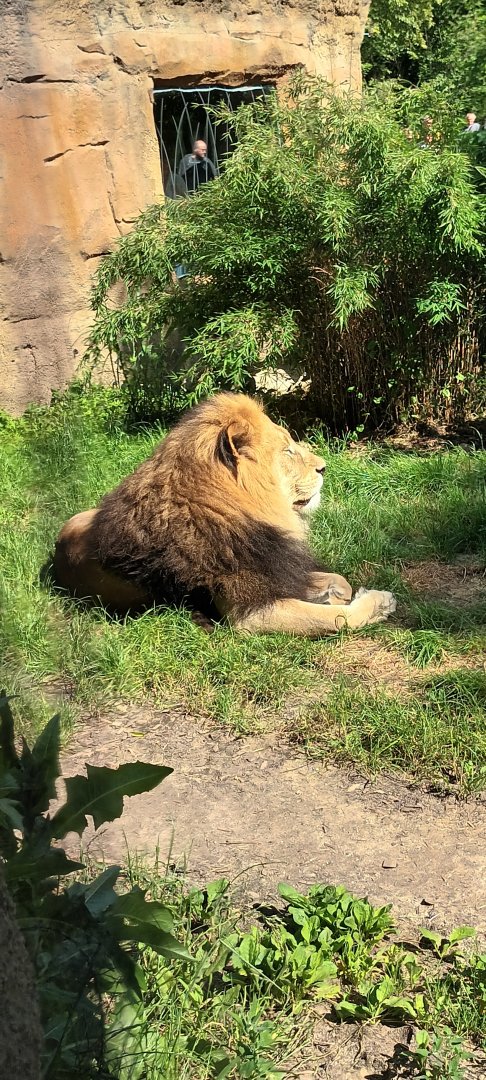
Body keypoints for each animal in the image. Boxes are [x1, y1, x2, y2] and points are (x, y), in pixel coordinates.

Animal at [53, 392, 396, 636]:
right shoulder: (247, 612)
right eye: (287, 450)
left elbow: (337, 579)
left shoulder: (272, 566)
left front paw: (332, 591)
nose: (324, 467)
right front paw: (378, 602)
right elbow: (337, 618)